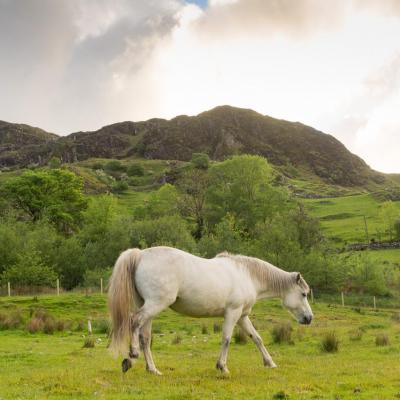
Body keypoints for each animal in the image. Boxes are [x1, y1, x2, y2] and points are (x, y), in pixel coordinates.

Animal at [108, 247, 314, 376]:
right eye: (303, 294)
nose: (309, 318)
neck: (248, 275)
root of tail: (140, 254)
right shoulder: (232, 313)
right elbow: (226, 339)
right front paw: (222, 367)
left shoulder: (242, 316)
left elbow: (257, 338)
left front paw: (270, 363)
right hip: (154, 305)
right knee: (134, 322)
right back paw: (131, 356)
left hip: (149, 306)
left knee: (145, 336)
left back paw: (152, 369)